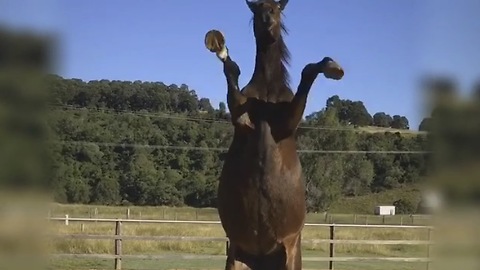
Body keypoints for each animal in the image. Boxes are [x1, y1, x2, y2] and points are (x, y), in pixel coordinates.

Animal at [204, 1, 344, 268]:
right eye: (257, 11)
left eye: (277, 9)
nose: (268, 23)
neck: (267, 93)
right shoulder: (240, 118)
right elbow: (231, 71)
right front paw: (221, 49)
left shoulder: (287, 123)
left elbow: (309, 71)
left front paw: (332, 66)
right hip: (236, 257)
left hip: (290, 254)